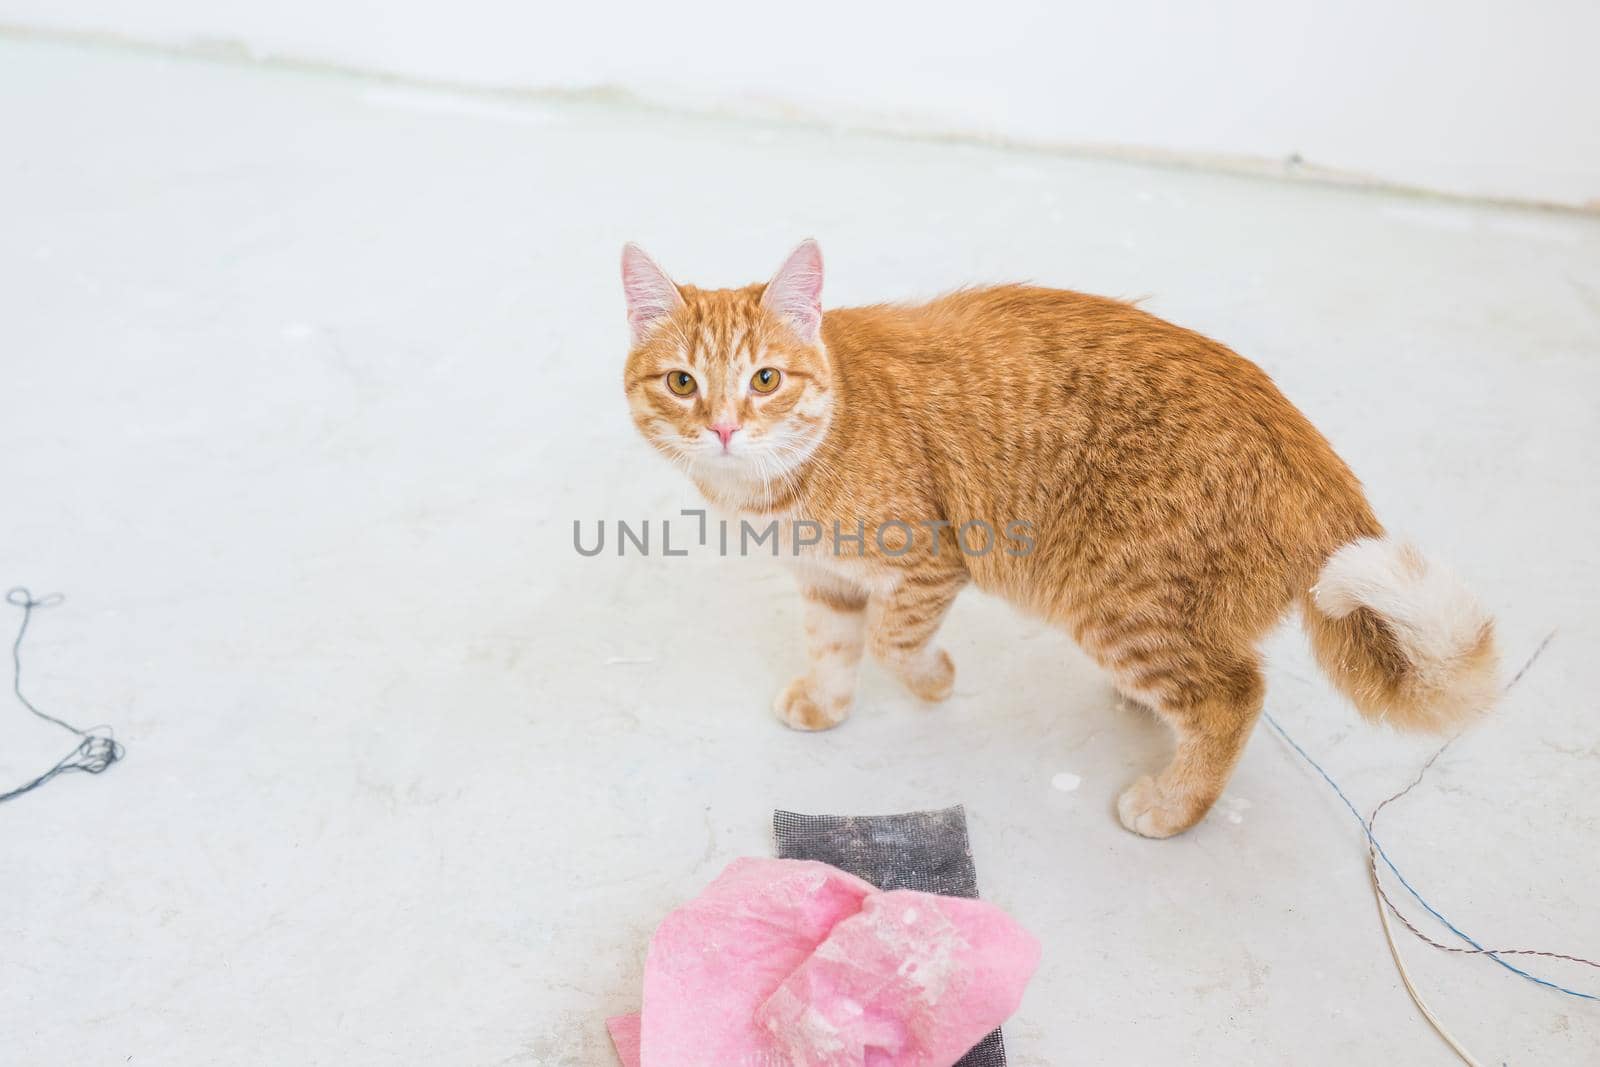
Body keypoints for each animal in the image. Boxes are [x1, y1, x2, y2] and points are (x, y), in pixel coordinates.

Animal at [614, 239, 1497, 831]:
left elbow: (897, 643)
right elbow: (835, 646)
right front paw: (827, 704)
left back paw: (1173, 803)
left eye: (764, 378)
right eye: (683, 382)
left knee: (1234, 694)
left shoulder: (931, 564)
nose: (723, 427)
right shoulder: (826, 581)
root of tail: (1308, 450)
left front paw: (935, 680)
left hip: (1116, 604)